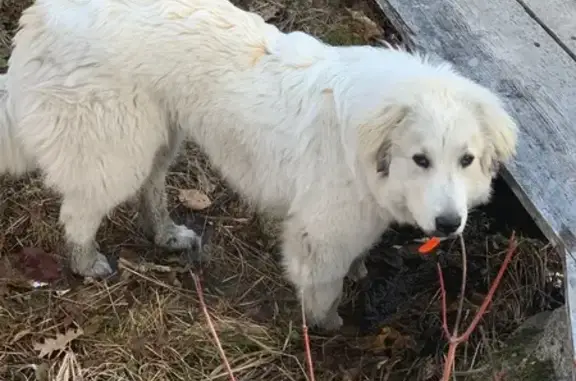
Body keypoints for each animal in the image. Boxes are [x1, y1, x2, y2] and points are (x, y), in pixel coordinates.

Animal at [1, 0, 516, 328]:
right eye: (420, 159)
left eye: (466, 160)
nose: (449, 225)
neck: (369, 142)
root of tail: (40, 17)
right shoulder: (320, 234)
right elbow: (324, 290)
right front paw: (329, 327)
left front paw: (358, 274)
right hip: (118, 149)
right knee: (78, 213)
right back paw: (87, 263)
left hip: (160, 136)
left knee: (150, 191)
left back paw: (167, 235)